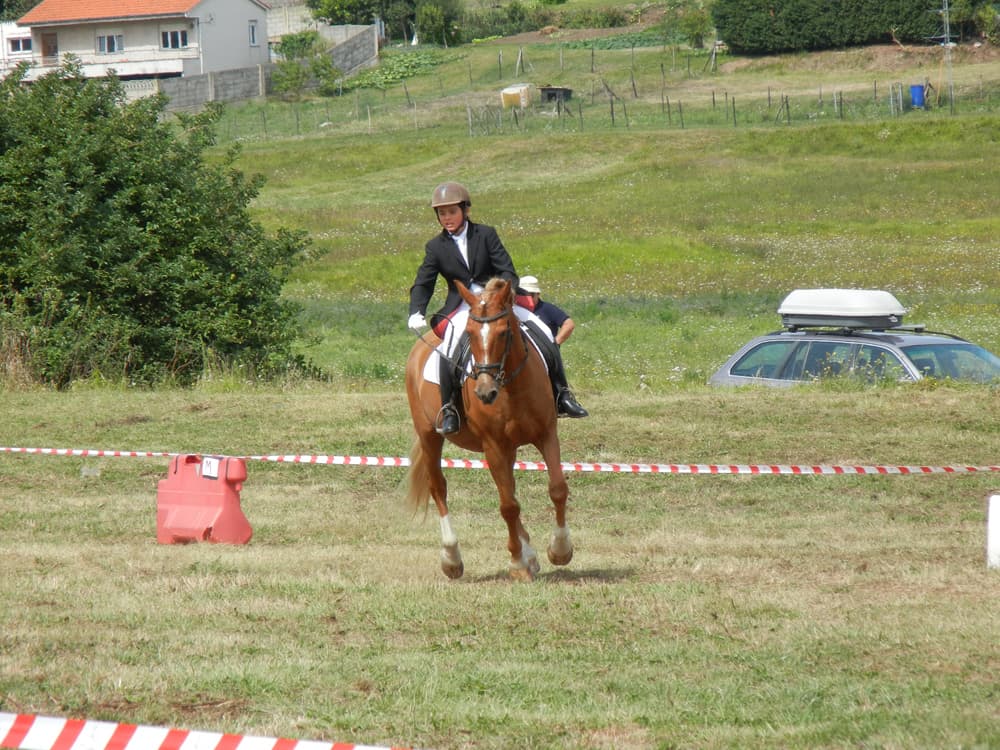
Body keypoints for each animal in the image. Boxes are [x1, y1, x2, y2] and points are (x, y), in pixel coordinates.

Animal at [404, 278, 576, 580]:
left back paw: (530, 555)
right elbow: (508, 505)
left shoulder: (546, 434)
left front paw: (559, 550)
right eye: (470, 334)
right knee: (439, 487)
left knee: (511, 488)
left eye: (504, 331)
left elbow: (556, 488)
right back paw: (452, 558)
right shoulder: (493, 445)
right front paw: (517, 563)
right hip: (429, 436)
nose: (485, 392)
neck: (511, 387)